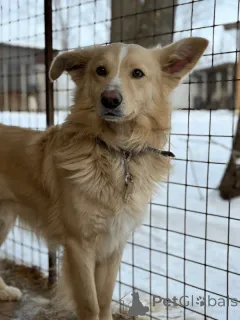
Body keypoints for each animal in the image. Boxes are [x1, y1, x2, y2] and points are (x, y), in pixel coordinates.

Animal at [0, 36, 208, 318]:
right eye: (100, 70)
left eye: (138, 73)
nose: (110, 99)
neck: (118, 152)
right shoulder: (79, 246)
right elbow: (90, 303)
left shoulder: (114, 244)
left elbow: (105, 299)